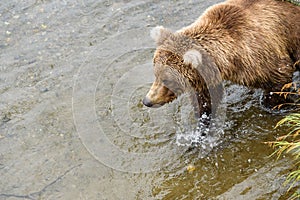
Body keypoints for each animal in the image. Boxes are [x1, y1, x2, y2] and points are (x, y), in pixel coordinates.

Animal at [142, 0, 300, 117]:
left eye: (167, 80)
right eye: (156, 75)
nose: (147, 101)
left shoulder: (260, 58)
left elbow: (279, 80)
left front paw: (275, 105)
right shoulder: (206, 77)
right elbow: (206, 99)